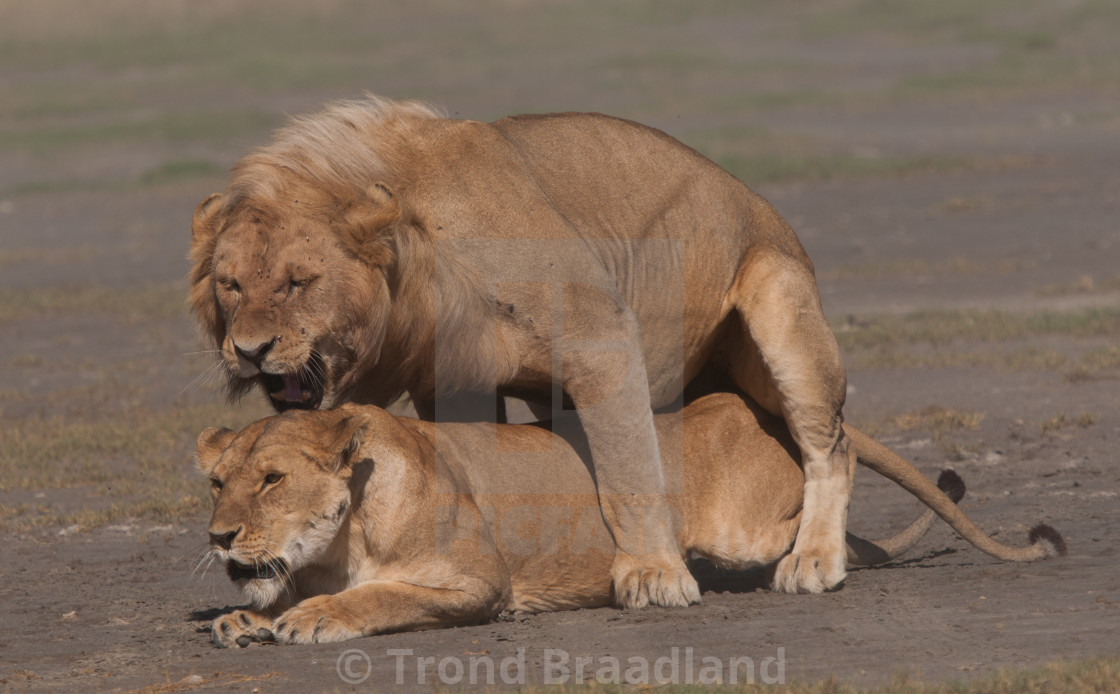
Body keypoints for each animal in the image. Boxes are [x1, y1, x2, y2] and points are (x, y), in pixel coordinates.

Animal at [197, 95, 855, 604]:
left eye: (297, 282)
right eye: (231, 285)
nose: (249, 349)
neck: (420, 263)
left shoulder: (601, 334)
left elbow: (630, 468)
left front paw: (653, 574)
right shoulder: (454, 381)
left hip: (779, 302)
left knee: (832, 445)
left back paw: (814, 561)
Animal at [197, 394, 1061, 649]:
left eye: (272, 480)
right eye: (216, 484)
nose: (218, 538)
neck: (338, 542)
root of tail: (748, 403)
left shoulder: (479, 582)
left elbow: (379, 596)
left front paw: (312, 617)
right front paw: (245, 617)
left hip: (737, 527)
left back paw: (814, 558)